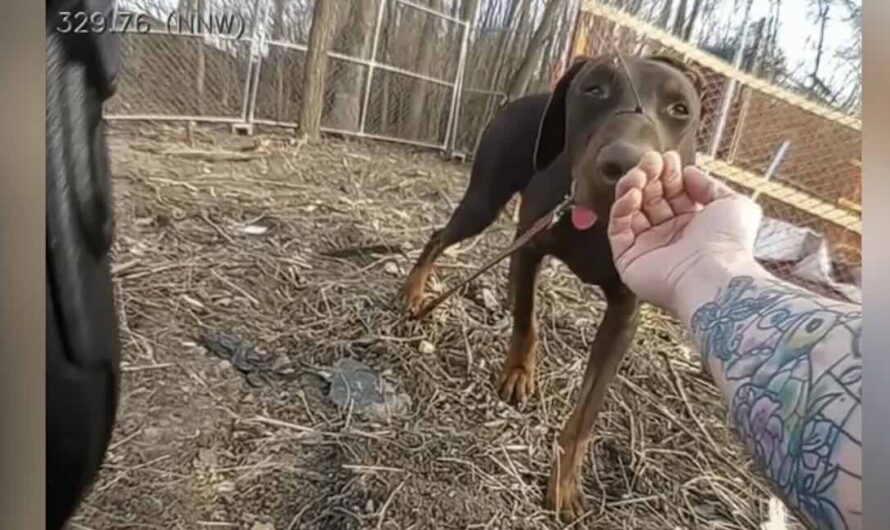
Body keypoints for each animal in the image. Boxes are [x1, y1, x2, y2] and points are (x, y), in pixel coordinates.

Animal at [402, 54, 700, 516]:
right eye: (593, 89)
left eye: (680, 109)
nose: (626, 168)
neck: (595, 225)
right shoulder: (532, 248)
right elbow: (527, 321)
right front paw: (519, 373)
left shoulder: (624, 316)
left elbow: (586, 412)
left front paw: (564, 481)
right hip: (483, 200)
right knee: (439, 237)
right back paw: (415, 291)